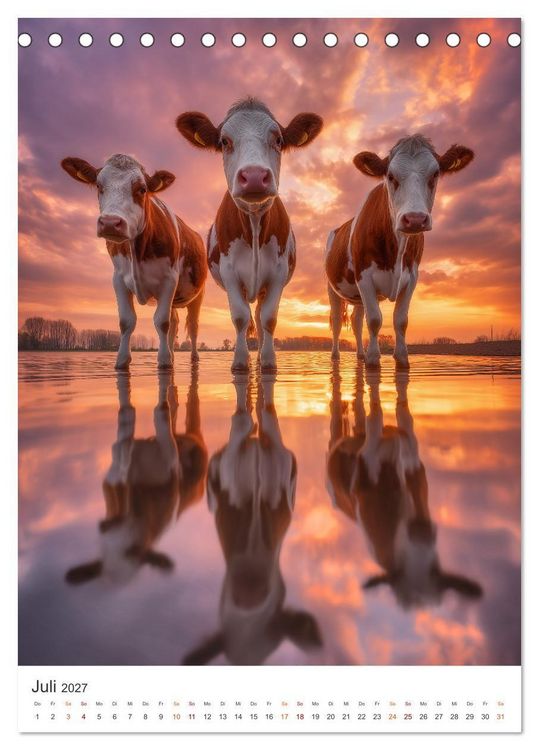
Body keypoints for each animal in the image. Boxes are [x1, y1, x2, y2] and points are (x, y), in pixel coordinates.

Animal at [61, 153, 207, 370]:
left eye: (142, 189)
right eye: (98, 185)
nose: (110, 222)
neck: (137, 251)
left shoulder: (169, 279)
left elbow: (161, 322)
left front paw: (164, 361)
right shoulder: (119, 279)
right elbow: (127, 321)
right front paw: (122, 360)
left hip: (197, 294)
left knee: (193, 326)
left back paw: (193, 357)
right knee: (175, 322)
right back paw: (172, 354)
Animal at [65, 368, 207, 586]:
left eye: (136, 550)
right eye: (104, 554)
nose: (105, 525)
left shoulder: (168, 452)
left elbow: (160, 414)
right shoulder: (115, 474)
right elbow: (124, 429)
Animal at [176, 98, 323, 372]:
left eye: (278, 140)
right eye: (224, 141)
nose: (254, 176)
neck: (254, 223)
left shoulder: (277, 274)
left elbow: (268, 319)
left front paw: (268, 361)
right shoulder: (230, 273)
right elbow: (240, 317)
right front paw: (240, 362)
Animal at [325, 135, 474, 369]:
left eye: (435, 174)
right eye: (390, 176)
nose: (415, 219)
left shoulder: (411, 276)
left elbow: (401, 320)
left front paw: (401, 358)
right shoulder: (363, 275)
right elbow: (375, 320)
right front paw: (373, 359)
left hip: (358, 296)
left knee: (357, 322)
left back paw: (360, 355)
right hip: (333, 289)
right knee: (338, 322)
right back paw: (336, 356)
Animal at [326, 366, 483, 609]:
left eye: (435, 570)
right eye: (398, 571)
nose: (421, 532)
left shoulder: (412, 457)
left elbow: (404, 414)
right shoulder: (371, 453)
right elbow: (376, 414)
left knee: (359, 409)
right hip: (336, 442)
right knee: (337, 412)